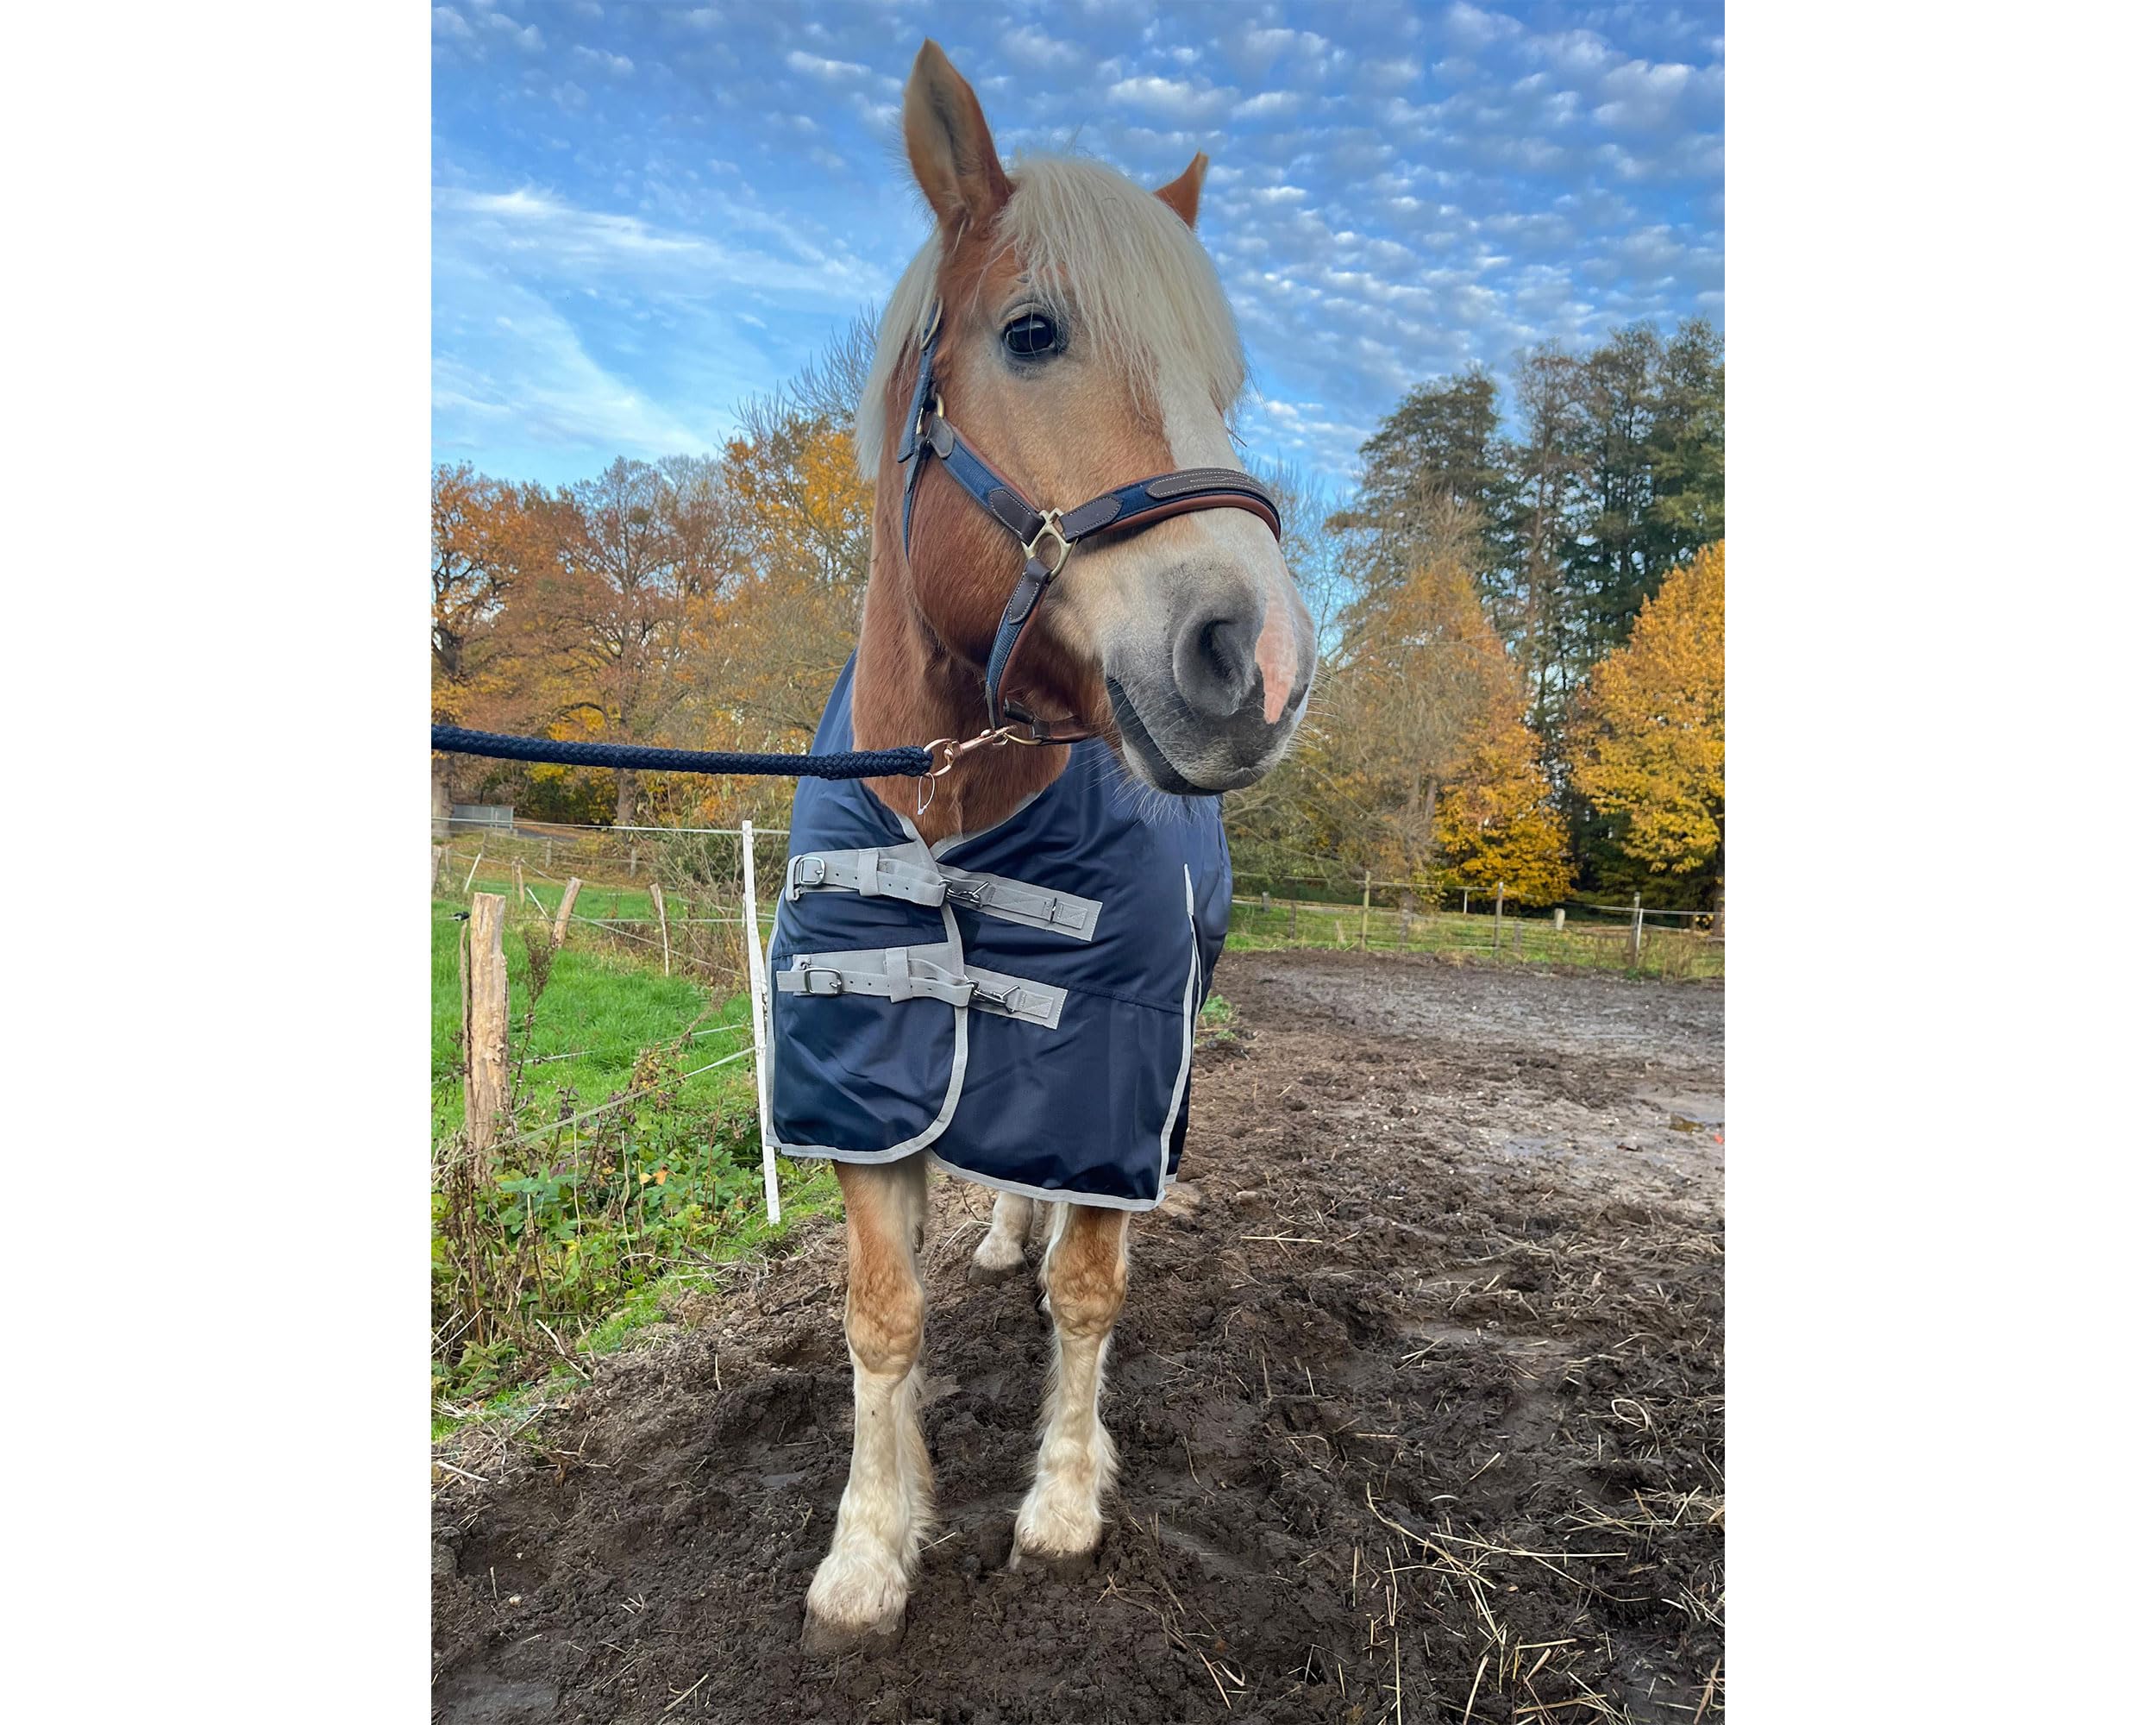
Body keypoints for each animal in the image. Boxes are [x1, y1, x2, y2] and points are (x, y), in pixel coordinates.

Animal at [782, 39, 1317, 1655]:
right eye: (1032, 333)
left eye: (1224, 385)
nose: (1262, 661)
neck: (954, 809)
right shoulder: (865, 1076)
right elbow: (880, 1317)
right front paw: (870, 1552)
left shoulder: (1113, 1064)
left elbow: (1092, 1291)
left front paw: (1065, 1502)